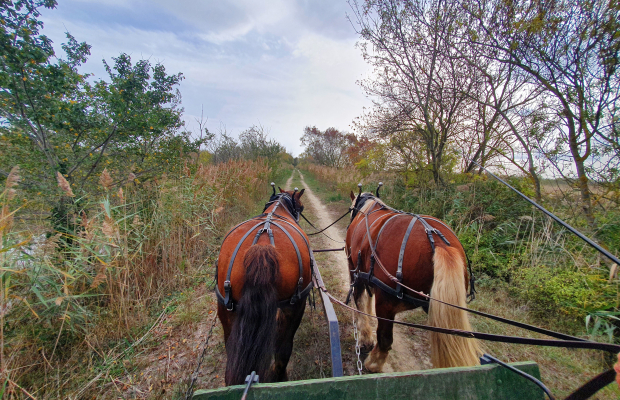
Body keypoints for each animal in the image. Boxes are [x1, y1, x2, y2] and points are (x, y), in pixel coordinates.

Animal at [216, 187, 312, 384]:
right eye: (301, 207)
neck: (279, 208)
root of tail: (261, 248)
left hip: (225, 309)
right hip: (296, 305)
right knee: (283, 352)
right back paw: (280, 378)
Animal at [346, 190, 482, 372]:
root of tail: (438, 241)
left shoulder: (355, 270)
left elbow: (360, 303)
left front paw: (365, 338)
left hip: (385, 304)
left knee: (385, 340)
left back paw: (372, 364)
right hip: (439, 307)